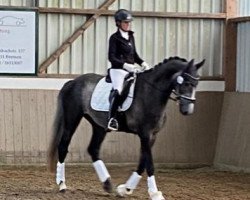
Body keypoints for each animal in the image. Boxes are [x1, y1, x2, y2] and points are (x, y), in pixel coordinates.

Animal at [47, 56, 205, 200]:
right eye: (185, 82)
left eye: (197, 82)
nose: (187, 110)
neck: (150, 92)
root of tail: (73, 82)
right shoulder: (145, 134)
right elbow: (150, 164)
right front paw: (155, 193)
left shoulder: (152, 135)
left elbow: (142, 162)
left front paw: (125, 189)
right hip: (72, 119)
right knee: (63, 146)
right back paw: (62, 184)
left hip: (99, 125)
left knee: (93, 149)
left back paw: (107, 184)